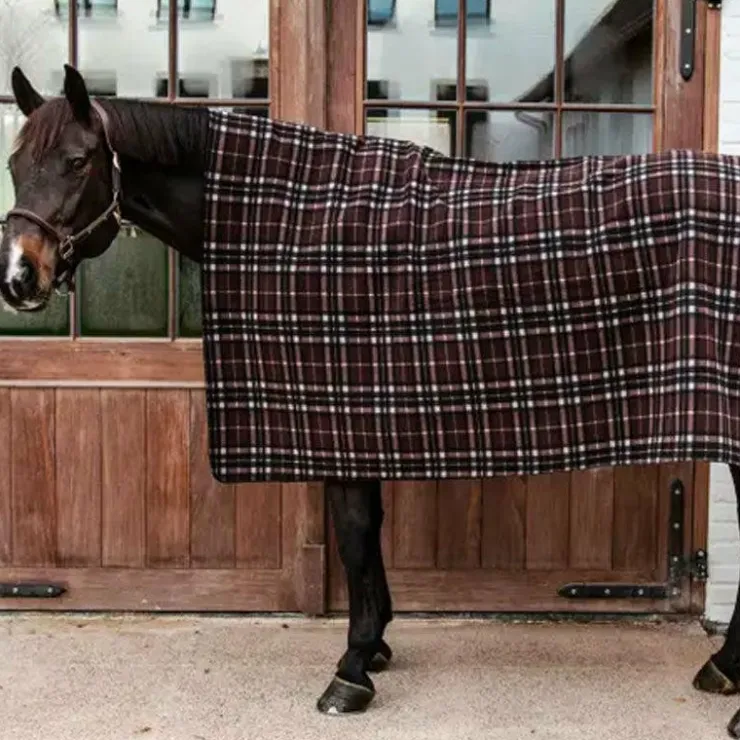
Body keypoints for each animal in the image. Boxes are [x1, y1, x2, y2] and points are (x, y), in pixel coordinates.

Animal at [2, 64, 740, 731]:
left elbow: (355, 536)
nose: (18, 276)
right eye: (14, 161)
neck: (292, 221)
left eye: (76, 161)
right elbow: (368, 534)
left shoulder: (341, 418)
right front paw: (377, 643)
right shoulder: (361, 418)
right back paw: (721, 671)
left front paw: (351, 671)